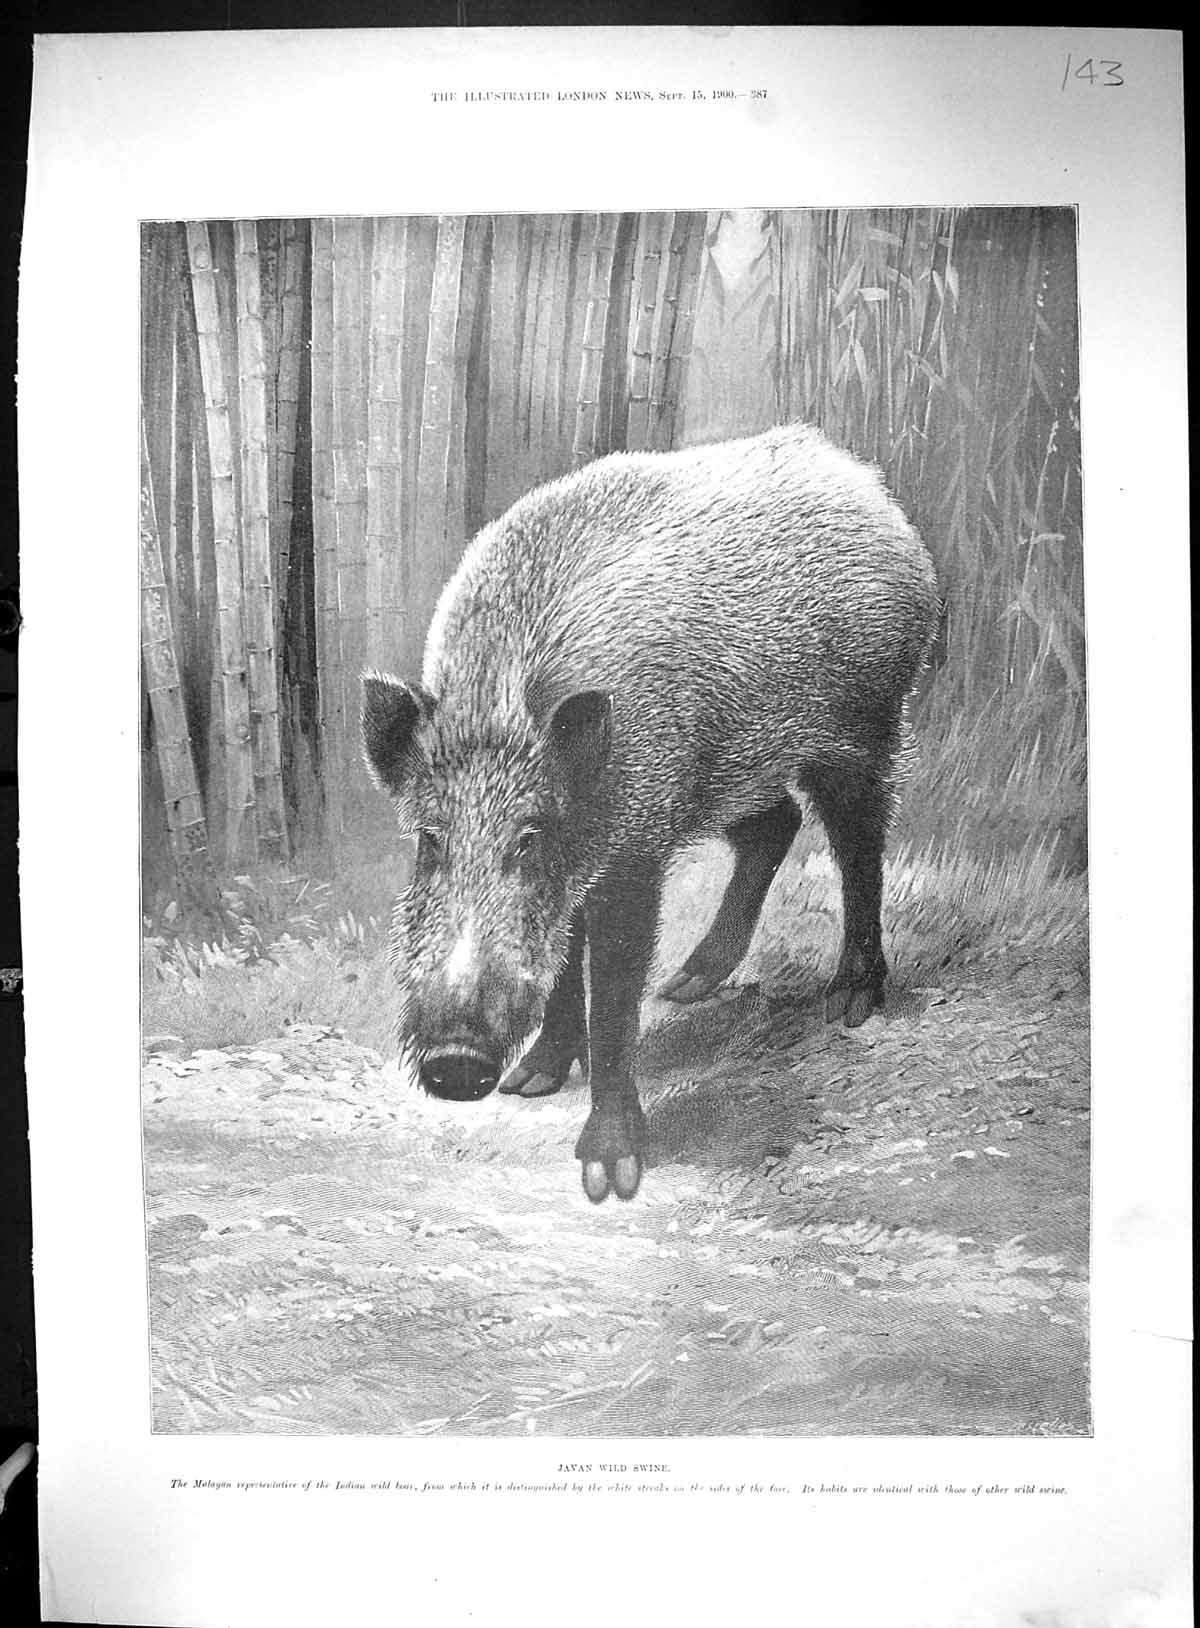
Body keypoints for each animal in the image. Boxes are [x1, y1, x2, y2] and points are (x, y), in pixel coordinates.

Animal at [362, 423, 939, 1203]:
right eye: (428, 841)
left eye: (529, 837)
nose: (456, 1060)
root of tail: (862, 481)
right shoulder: (601, 847)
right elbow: (565, 962)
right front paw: (531, 1083)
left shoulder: (633, 851)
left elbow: (613, 996)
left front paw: (609, 1176)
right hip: (730, 773)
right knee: (777, 823)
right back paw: (688, 985)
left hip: (867, 721)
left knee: (859, 843)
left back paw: (850, 1002)